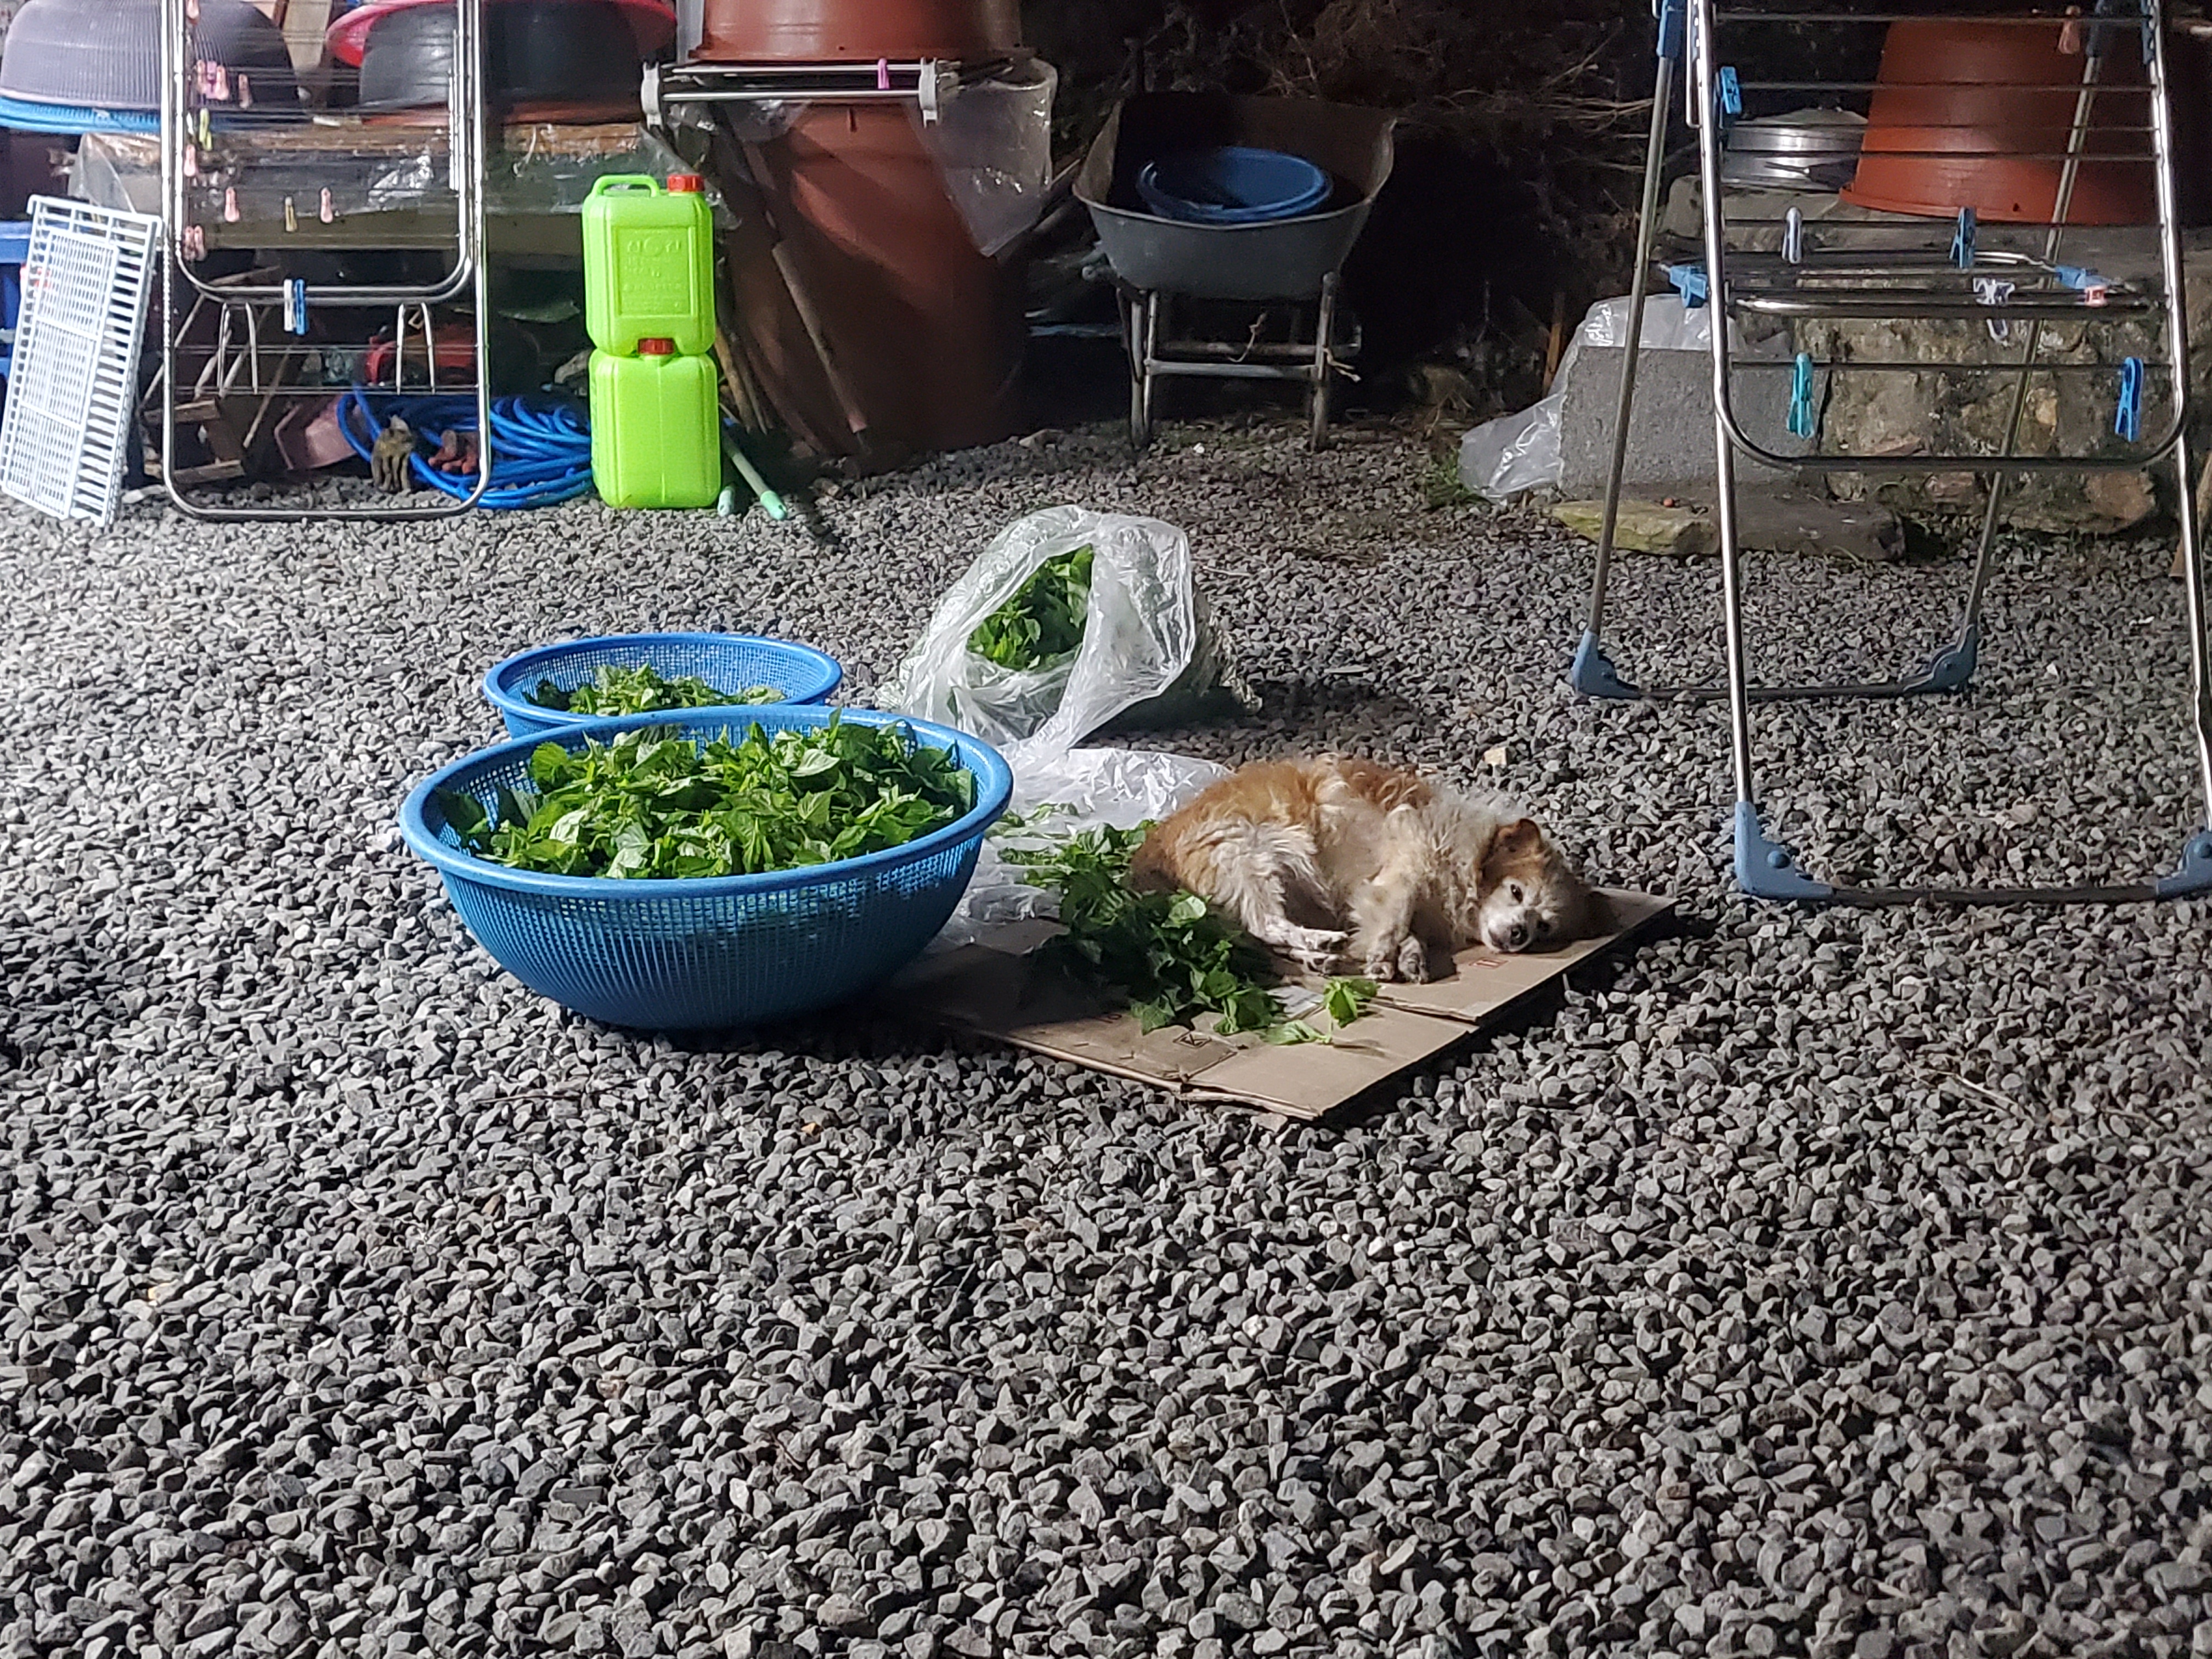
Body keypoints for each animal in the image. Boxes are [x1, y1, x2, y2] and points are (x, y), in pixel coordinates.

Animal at [1129, 757, 1602, 983]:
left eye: (1544, 926)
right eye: (1517, 892)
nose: (1521, 935)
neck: (1468, 854)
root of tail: (1153, 849)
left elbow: (1403, 929)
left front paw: (1409, 957)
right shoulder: (1402, 869)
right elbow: (1395, 917)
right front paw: (1381, 958)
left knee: (1262, 938)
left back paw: (1319, 955)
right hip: (1256, 854)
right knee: (1266, 924)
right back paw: (1320, 942)